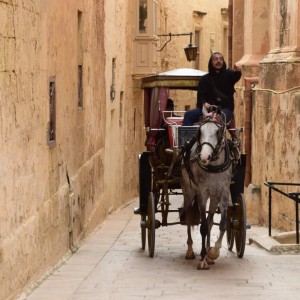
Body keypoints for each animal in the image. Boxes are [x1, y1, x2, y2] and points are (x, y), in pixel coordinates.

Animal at [179, 111, 233, 270]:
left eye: (217, 132)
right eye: (200, 131)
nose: (203, 156)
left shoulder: (223, 193)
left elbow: (222, 224)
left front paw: (213, 252)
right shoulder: (202, 193)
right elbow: (202, 227)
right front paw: (203, 259)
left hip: (213, 197)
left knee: (210, 221)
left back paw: (209, 254)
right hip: (189, 191)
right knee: (188, 217)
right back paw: (190, 251)